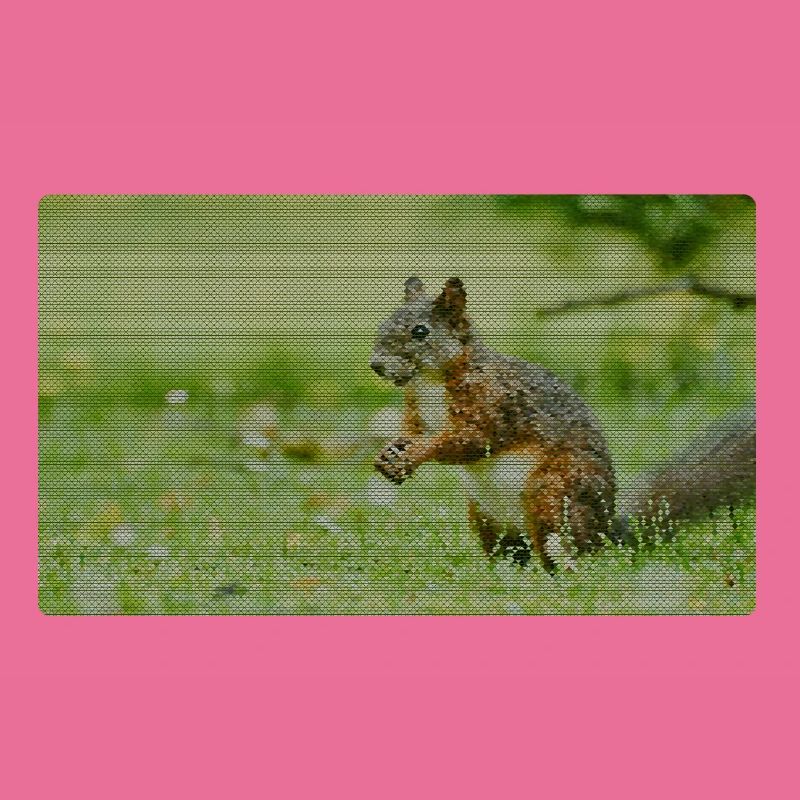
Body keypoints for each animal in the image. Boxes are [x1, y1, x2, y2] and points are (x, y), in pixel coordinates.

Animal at [371, 277, 755, 570]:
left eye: (421, 331)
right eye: (384, 323)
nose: (376, 365)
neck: (431, 381)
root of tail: (607, 530)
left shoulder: (496, 403)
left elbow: (470, 440)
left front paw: (416, 453)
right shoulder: (417, 410)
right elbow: (412, 431)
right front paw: (390, 453)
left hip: (554, 492)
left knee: (566, 549)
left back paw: (560, 572)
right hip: (484, 516)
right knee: (513, 553)